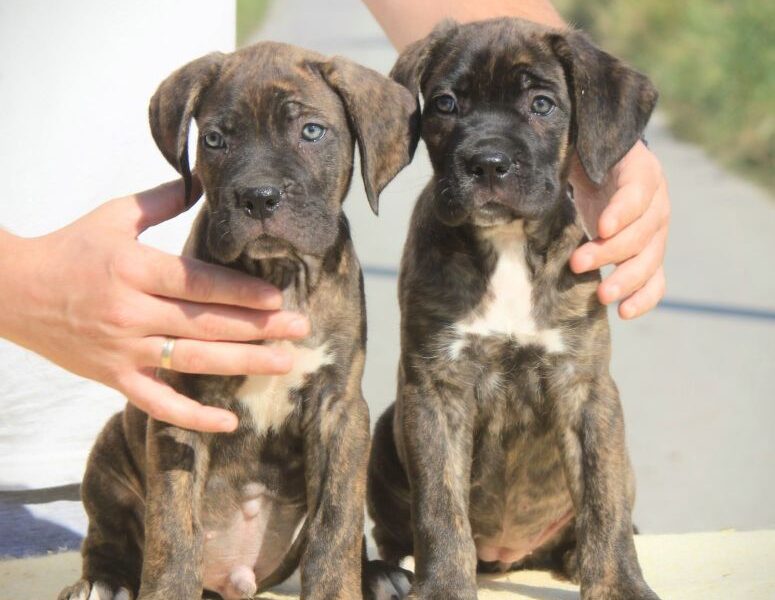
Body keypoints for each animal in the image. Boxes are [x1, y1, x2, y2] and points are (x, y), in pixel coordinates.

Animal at [58, 42, 422, 600]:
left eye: (311, 131)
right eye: (214, 139)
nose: (259, 196)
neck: (280, 275)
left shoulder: (340, 410)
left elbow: (336, 520)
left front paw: (338, 586)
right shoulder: (181, 404)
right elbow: (173, 524)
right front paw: (167, 589)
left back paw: (377, 574)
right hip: (111, 448)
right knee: (109, 528)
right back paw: (104, 580)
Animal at [368, 17, 660, 600]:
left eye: (542, 104)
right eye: (446, 104)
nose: (487, 163)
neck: (507, 245)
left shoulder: (587, 390)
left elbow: (604, 501)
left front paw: (619, 582)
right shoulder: (435, 392)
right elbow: (440, 508)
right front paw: (443, 586)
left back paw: (574, 556)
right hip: (386, 433)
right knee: (390, 534)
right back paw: (386, 574)